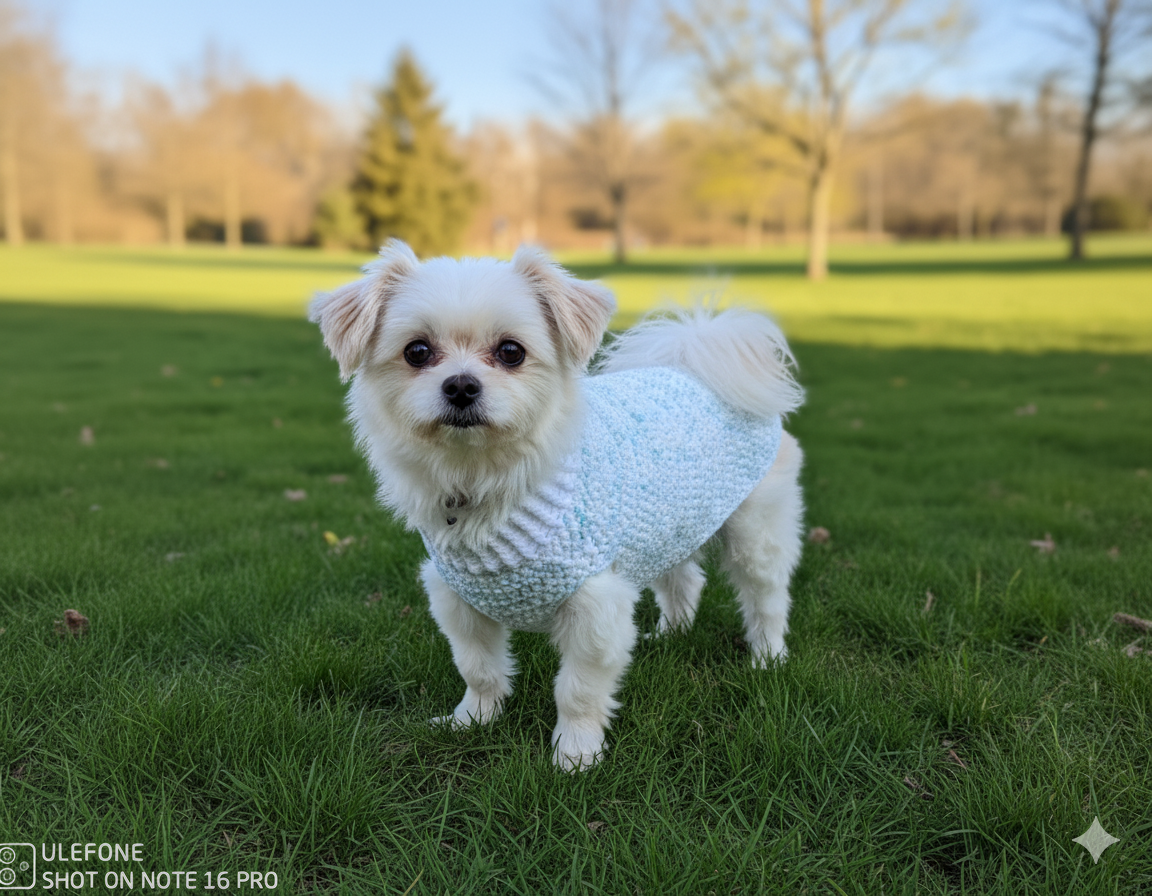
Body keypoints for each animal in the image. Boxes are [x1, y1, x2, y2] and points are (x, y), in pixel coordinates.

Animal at [309, 240, 805, 771]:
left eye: (511, 352)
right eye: (417, 352)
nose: (461, 385)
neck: (488, 480)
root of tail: (694, 362)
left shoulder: (595, 605)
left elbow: (578, 691)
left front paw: (576, 754)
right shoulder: (458, 601)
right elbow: (479, 670)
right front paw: (472, 722)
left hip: (755, 536)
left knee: (767, 599)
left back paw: (767, 659)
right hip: (665, 526)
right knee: (683, 580)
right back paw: (670, 634)